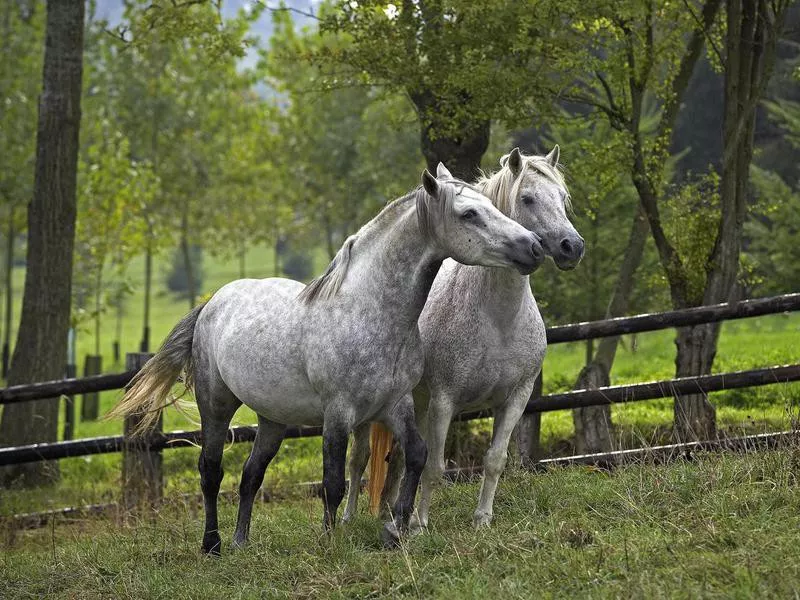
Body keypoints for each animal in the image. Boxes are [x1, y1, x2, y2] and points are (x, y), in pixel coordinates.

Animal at [109, 169, 544, 552]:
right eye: (468, 213)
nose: (534, 247)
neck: (370, 312)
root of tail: (212, 303)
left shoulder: (396, 405)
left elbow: (417, 456)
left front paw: (395, 530)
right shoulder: (339, 413)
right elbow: (333, 482)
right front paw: (331, 542)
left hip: (273, 420)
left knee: (251, 475)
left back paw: (241, 542)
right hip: (216, 407)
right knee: (211, 472)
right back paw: (212, 545)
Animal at [344, 145, 580, 528]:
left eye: (562, 196)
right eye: (527, 198)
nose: (571, 246)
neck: (499, 319)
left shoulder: (516, 398)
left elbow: (495, 459)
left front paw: (482, 520)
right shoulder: (444, 401)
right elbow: (435, 467)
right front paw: (420, 525)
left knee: (396, 459)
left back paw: (390, 513)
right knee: (359, 458)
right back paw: (350, 517)